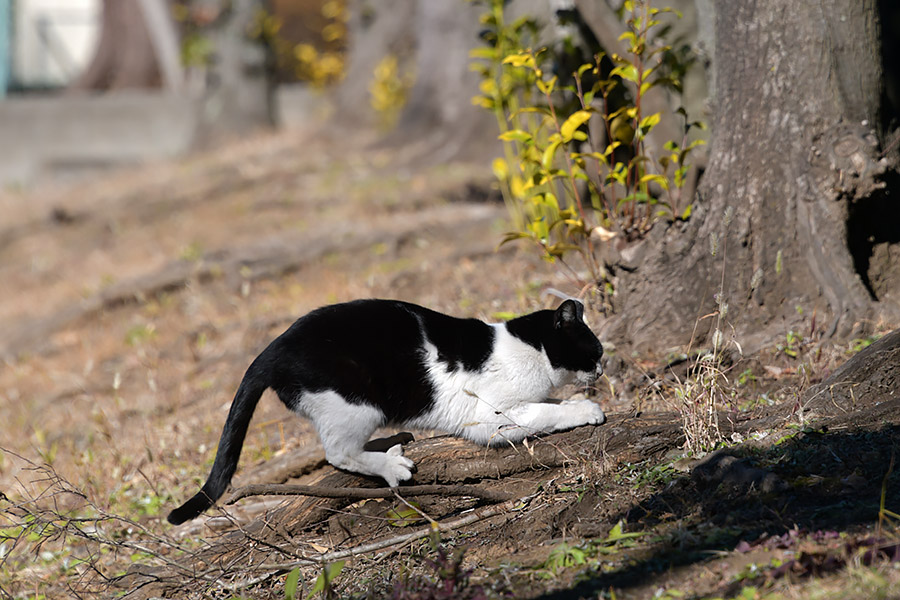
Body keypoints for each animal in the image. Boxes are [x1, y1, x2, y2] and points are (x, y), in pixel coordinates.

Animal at [169, 298, 604, 524]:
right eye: (595, 350)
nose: (603, 368)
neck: (529, 350)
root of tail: (270, 351)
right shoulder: (492, 417)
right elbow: (544, 413)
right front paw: (586, 409)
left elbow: (549, 404)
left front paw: (574, 402)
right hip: (356, 403)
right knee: (338, 453)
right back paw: (392, 465)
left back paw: (390, 443)